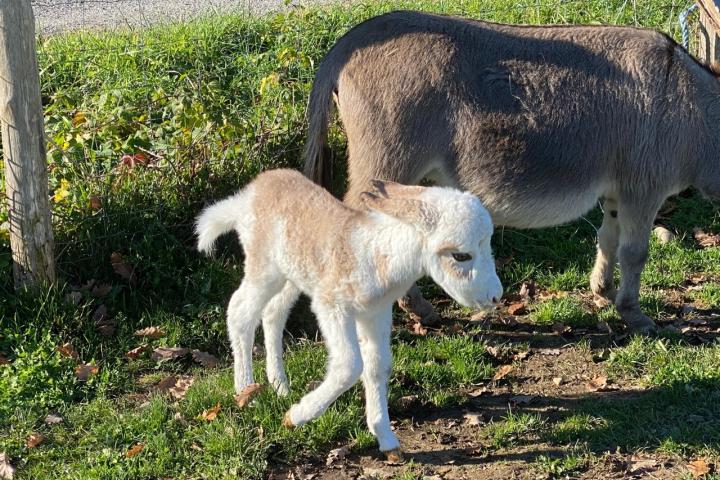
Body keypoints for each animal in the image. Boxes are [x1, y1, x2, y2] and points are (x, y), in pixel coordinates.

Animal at [194, 169, 504, 458]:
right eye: (460, 256)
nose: (495, 297)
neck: (379, 257)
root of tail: (251, 192)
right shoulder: (332, 305)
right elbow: (350, 365)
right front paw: (295, 417)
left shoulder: (375, 314)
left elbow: (378, 366)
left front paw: (386, 438)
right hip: (264, 266)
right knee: (240, 312)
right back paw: (246, 392)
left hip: (292, 273)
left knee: (273, 313)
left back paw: (280, 385)